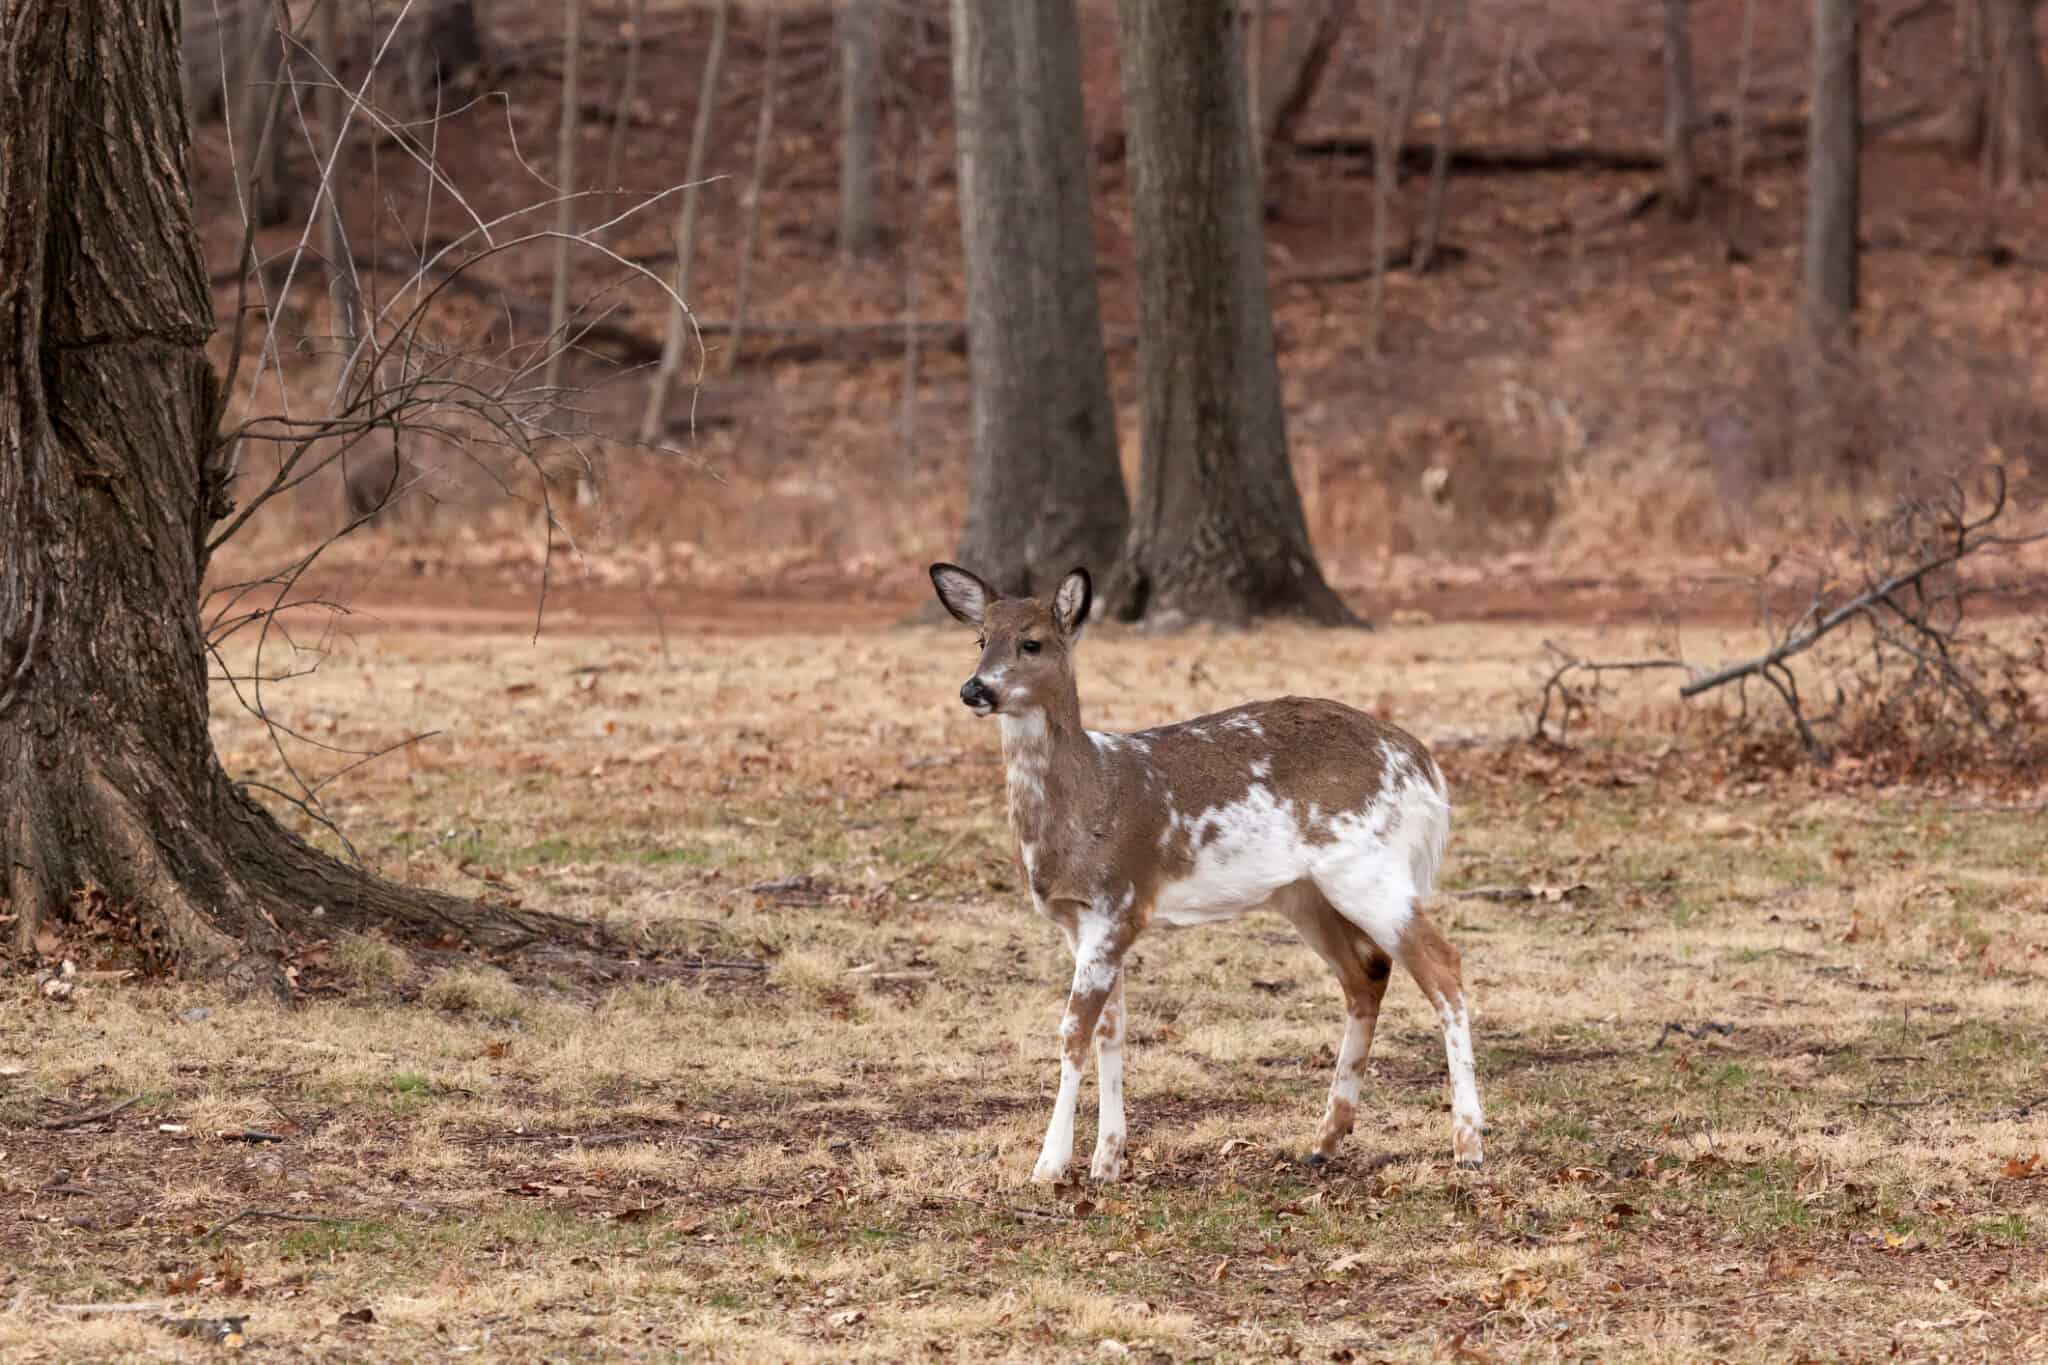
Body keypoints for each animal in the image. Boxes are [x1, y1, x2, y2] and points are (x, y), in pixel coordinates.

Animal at [929, 563, 1484, 1184]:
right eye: (980, 640)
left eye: (1032, 643)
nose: (975, 689)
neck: (1089, 799)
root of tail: (1425, 767)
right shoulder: (1082, 921)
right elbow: (1111, 1029)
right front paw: (1107, 1160)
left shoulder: (1118, 901)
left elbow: (1073, 1031)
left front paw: (1050, 1165)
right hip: (1305, 893)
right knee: (1367, 971)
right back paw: (1326, 1139)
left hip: (1368, 868)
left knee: (1441, 964)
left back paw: (1468, 1145)